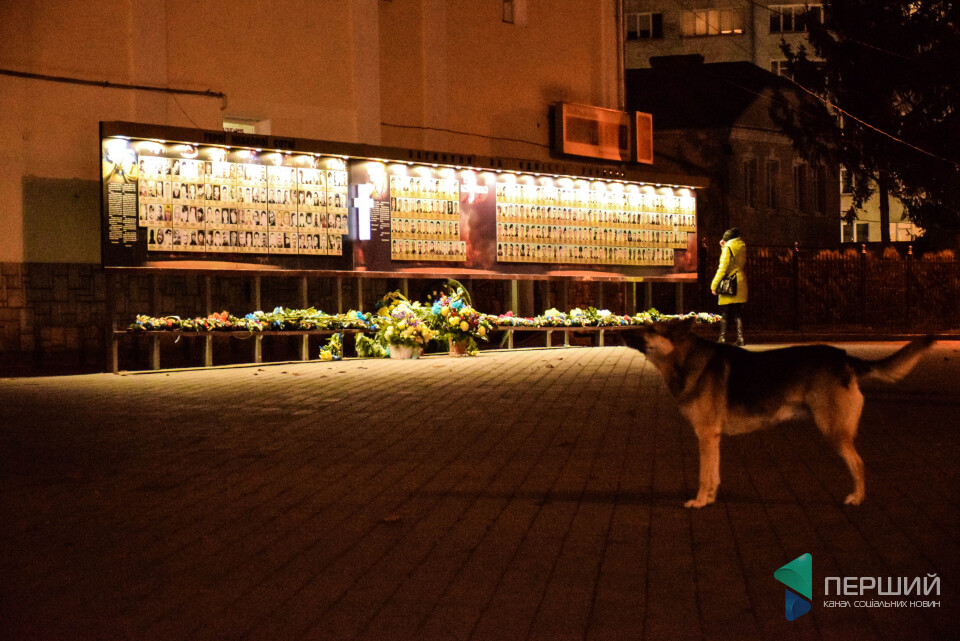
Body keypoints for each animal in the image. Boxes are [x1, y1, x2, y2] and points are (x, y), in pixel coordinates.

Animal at [620, 322, 932, 508]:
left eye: (650, 327)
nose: (621, 332)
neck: (686, 360)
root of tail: (844, 358)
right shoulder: (713, 438)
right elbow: (714, 475)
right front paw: (709, 499)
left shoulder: (706, 436)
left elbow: (704, 476)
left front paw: (699, 502)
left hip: (834, 431)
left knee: (858, 463)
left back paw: (857, 498)